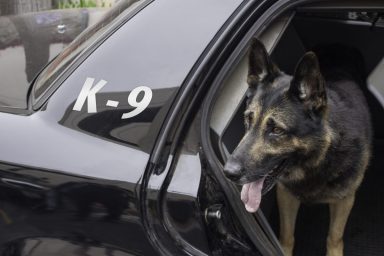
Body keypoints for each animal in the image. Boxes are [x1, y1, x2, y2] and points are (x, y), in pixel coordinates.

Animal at [224, 38, 370, 256]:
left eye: (276, 130)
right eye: (248, 119)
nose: (228, 173)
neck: (319, 158)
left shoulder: (345, 200)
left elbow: (334, 237)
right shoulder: (285, 195)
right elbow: (286, 236)